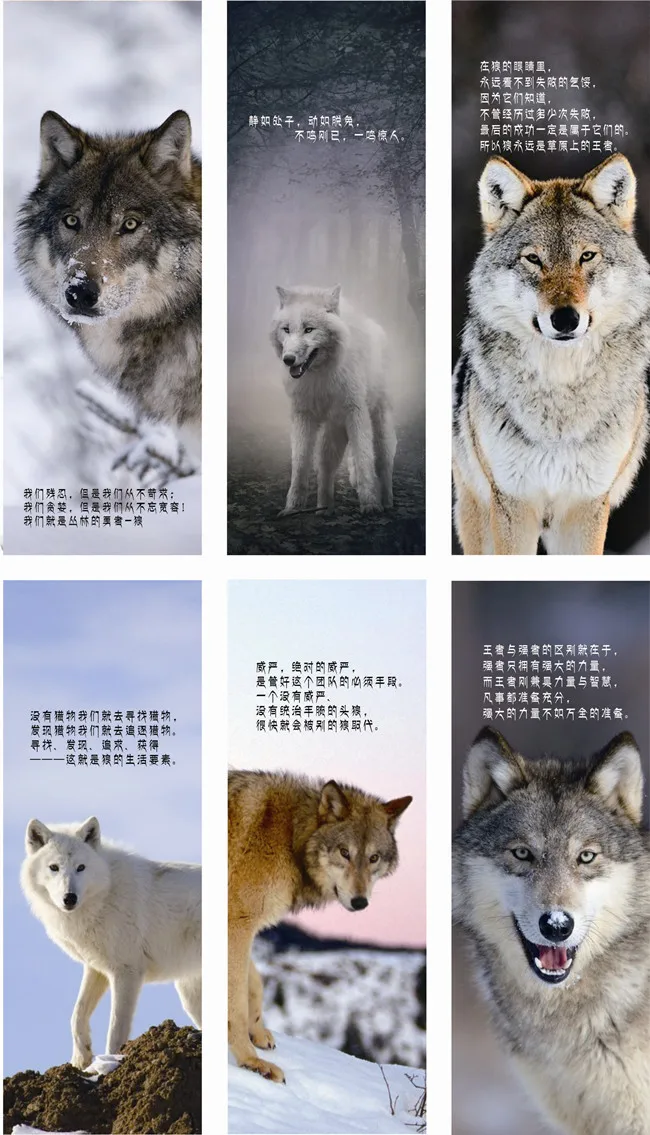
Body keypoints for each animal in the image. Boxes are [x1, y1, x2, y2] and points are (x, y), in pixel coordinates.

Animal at [21, 816, 201, 1069]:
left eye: (81, 867)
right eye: (54, 868)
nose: (69, 898)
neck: (105, 894)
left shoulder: (127, 973)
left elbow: (116, 1029)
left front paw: (112, 1062)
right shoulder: (96, 969)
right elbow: (77, 1015)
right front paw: (80, 1060)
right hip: (190, 996)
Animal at [228, 770, 412, 1082]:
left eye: (373, 858)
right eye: (344, 852)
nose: (360, 902)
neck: (289, 835)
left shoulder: (242, 927)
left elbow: (255, 983)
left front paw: (258, 1034)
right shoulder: (238, 924)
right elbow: (236, 1002)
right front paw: (250, 1062)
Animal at [270, 285, 396, 514]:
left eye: (309, 329)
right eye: (286, 329)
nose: (288, 359)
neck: (320, 376)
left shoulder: (356, 413)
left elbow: (364, 458)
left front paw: (371, 505)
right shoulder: (303, 416)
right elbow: (300, 464)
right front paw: (292, 508)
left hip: (378, 423)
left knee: (383, 461)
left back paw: (387, 502)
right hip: (333, 429)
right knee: (326, 466)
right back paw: (324, 508)